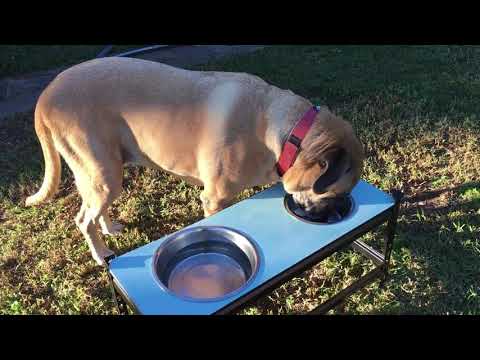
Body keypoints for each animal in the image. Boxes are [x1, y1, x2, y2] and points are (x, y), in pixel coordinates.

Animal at [25, 56, 364, 264]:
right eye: (337, 193)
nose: (335, 214)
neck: (286, 131)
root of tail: (46, 95)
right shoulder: (214, 199)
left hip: (104, 172)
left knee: (95, 211)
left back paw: (109, 227)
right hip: (101, 173)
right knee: (84, 219)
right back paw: (101, 254)